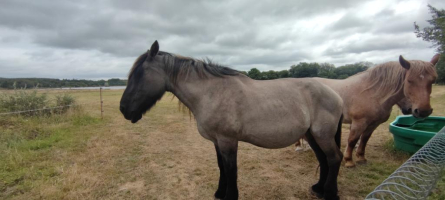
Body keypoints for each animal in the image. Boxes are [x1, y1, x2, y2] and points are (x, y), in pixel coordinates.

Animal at [120, 41, 344, 200]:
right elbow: (221, 167)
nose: (123, 109)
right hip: (312, 134)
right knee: (323, 159)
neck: (212, 93)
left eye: (139, 74)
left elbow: (231, 170)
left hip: (322, 135)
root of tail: (336, 95)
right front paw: (220, 193)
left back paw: (330, 194)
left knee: (334, 158)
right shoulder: (217, 141)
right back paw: (319, 189)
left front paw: (230, 196)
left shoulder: (228, 141)